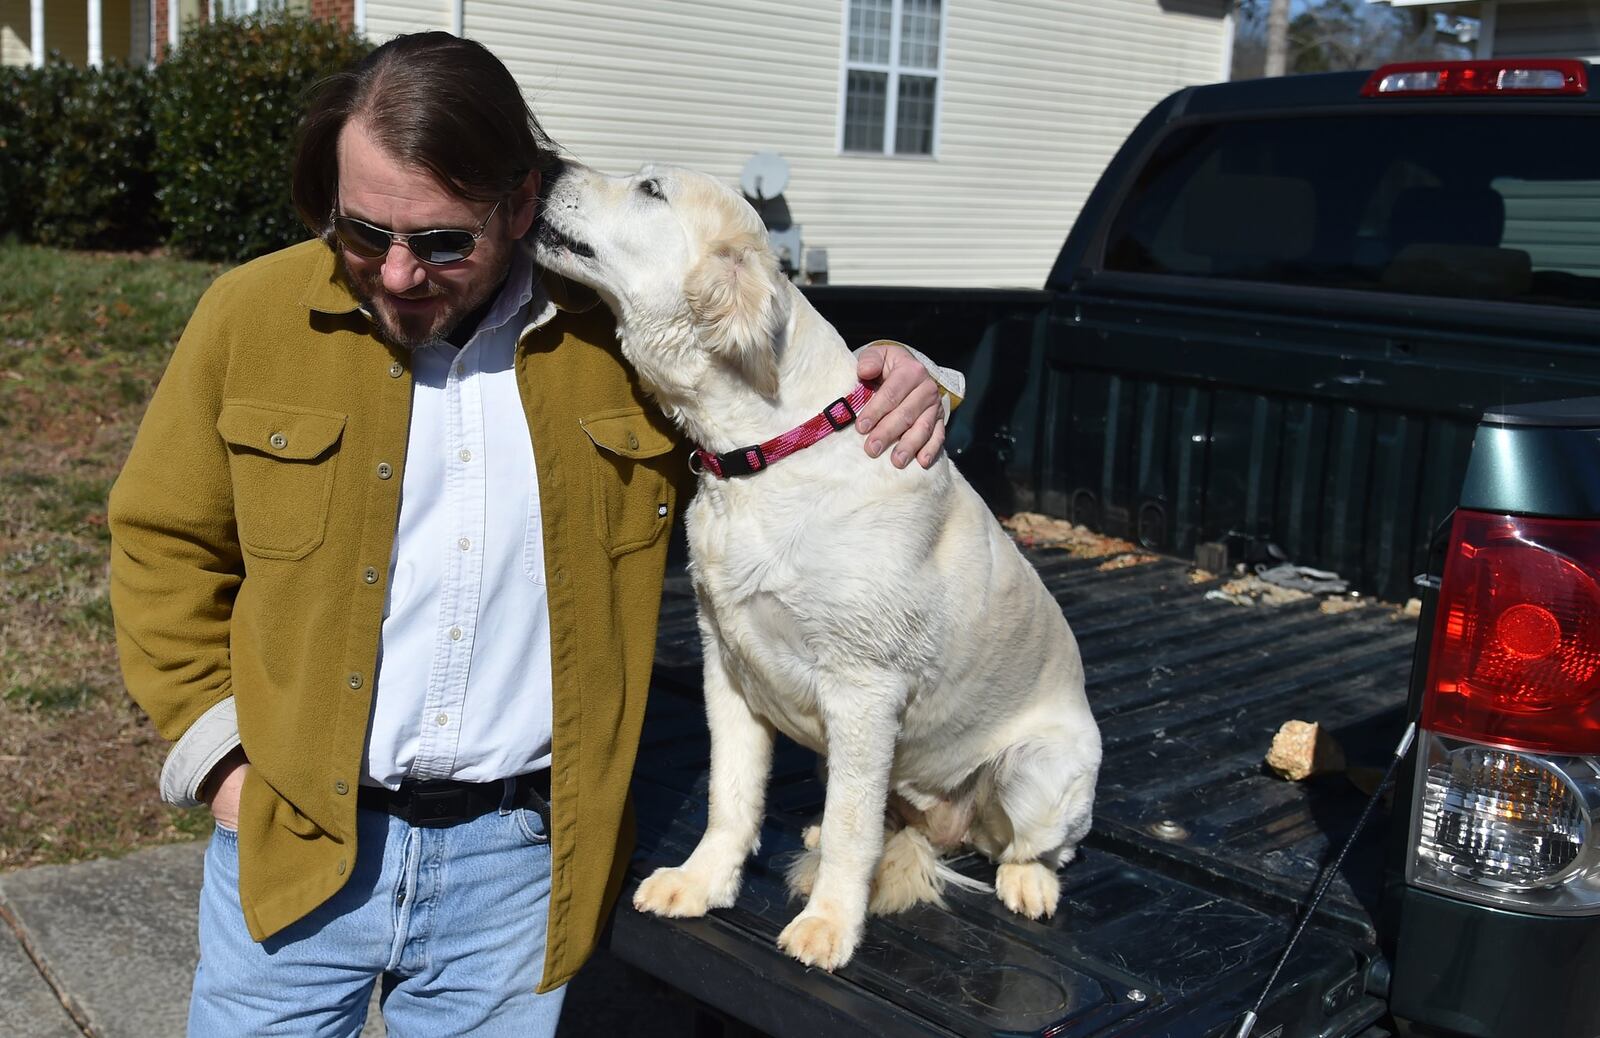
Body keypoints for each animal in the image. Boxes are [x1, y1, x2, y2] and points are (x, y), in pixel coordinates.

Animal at [537, 161, 1100, 972]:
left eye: (650, 188)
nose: (546, 165)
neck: (767, 452)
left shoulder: (865, 688)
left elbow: (851, 832)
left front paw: (830, 924)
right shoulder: (727, 664)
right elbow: (732, 796)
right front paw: (703, 882)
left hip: (1039, 769)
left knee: (1036, 847)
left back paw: (1030, 882)